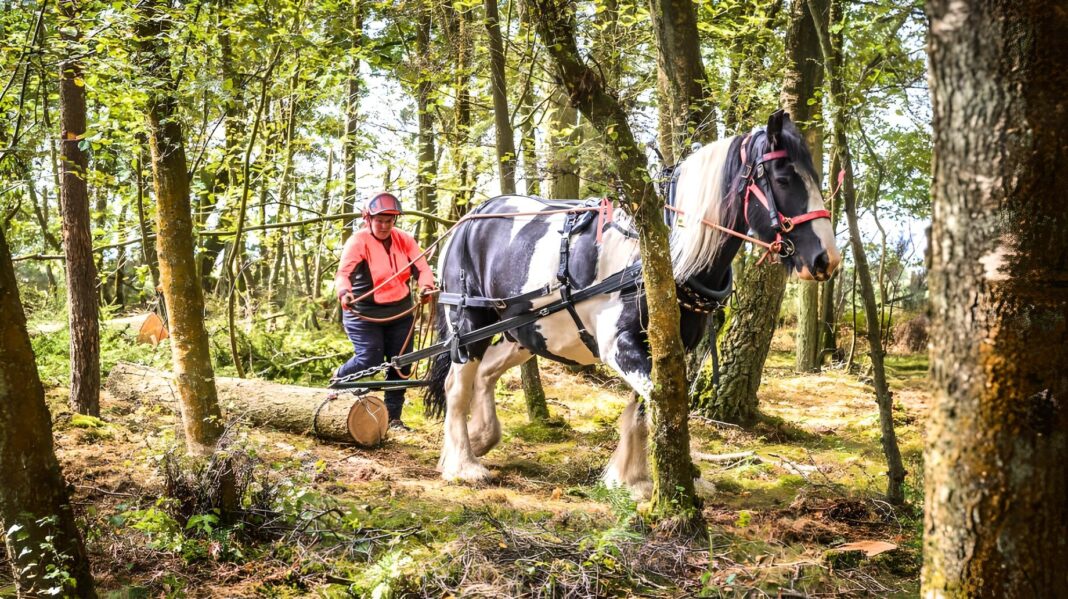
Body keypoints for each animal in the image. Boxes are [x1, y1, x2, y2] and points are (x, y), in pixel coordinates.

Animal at [420, 112, 837, 495]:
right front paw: (659, 477)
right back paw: (463, 464)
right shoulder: (619, 344)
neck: (664, 255)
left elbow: (648, 406)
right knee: (457, 385)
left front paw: (634, 477)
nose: (826, 260)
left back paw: (480, 438)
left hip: (524, 332)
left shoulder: (667, 347)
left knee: (486, 373)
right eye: (783, 179)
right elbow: (661, 404)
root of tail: (468, 219)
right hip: (469, 322)